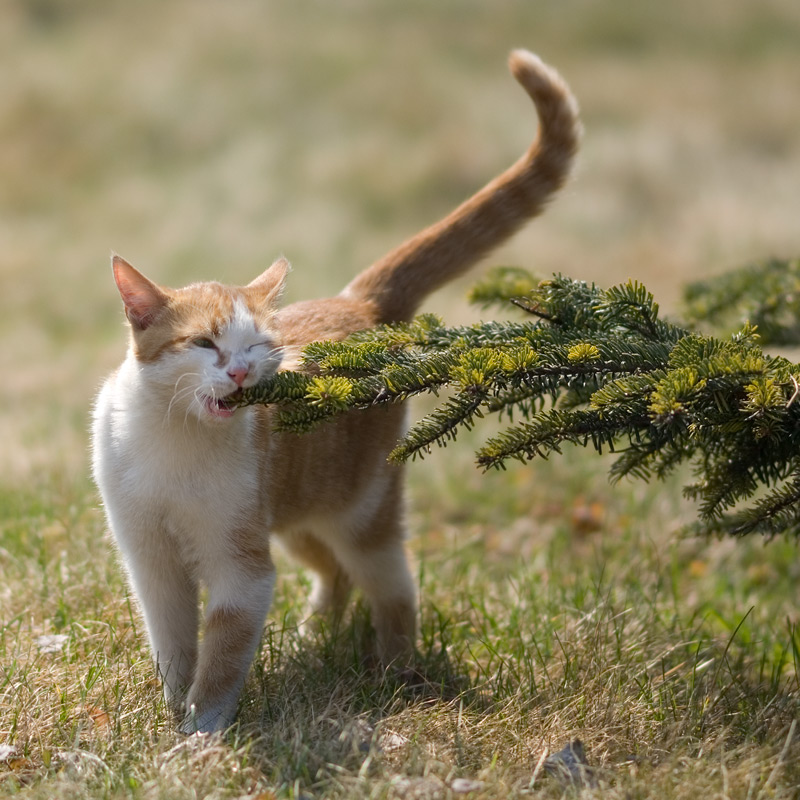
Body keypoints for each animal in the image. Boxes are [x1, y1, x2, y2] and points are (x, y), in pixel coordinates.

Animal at [92, 51, 580, 732]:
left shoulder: (242, 568)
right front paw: (168, 712)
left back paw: (395, 673)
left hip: (361, 510)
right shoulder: (151, 562)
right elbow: (174, 645)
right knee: (336, 574)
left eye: (258, 346)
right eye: (206, 344)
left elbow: (223, 652)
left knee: (392, 587)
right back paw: (314, 633)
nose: (240, 375)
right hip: (298, 511)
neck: (176, 440)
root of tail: (359, 303)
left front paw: (201, 731)